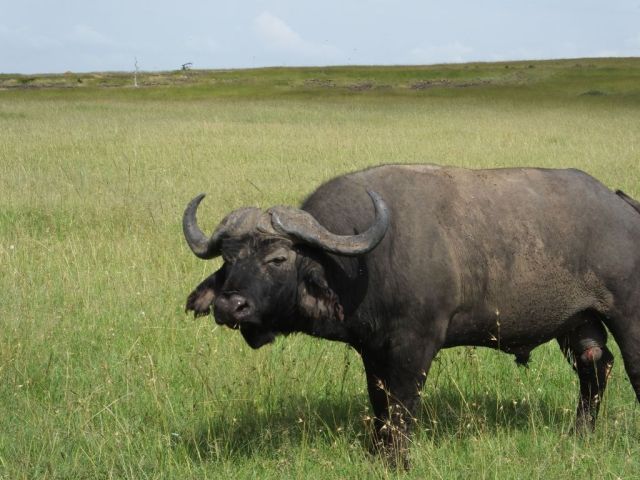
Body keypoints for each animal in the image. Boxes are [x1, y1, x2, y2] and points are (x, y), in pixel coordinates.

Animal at [183, 164, 640, 465]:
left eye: (278, 258)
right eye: (229, 258)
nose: (229, 305)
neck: (362, 265)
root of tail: (622, 206)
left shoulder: (415, 347)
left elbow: (402, 404)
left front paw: (398, 460)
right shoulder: (372, 352)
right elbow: (379, 402)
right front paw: (377, 453)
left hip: (628, 318)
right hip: (578, 322)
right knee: (595, 368)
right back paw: (579, 434)